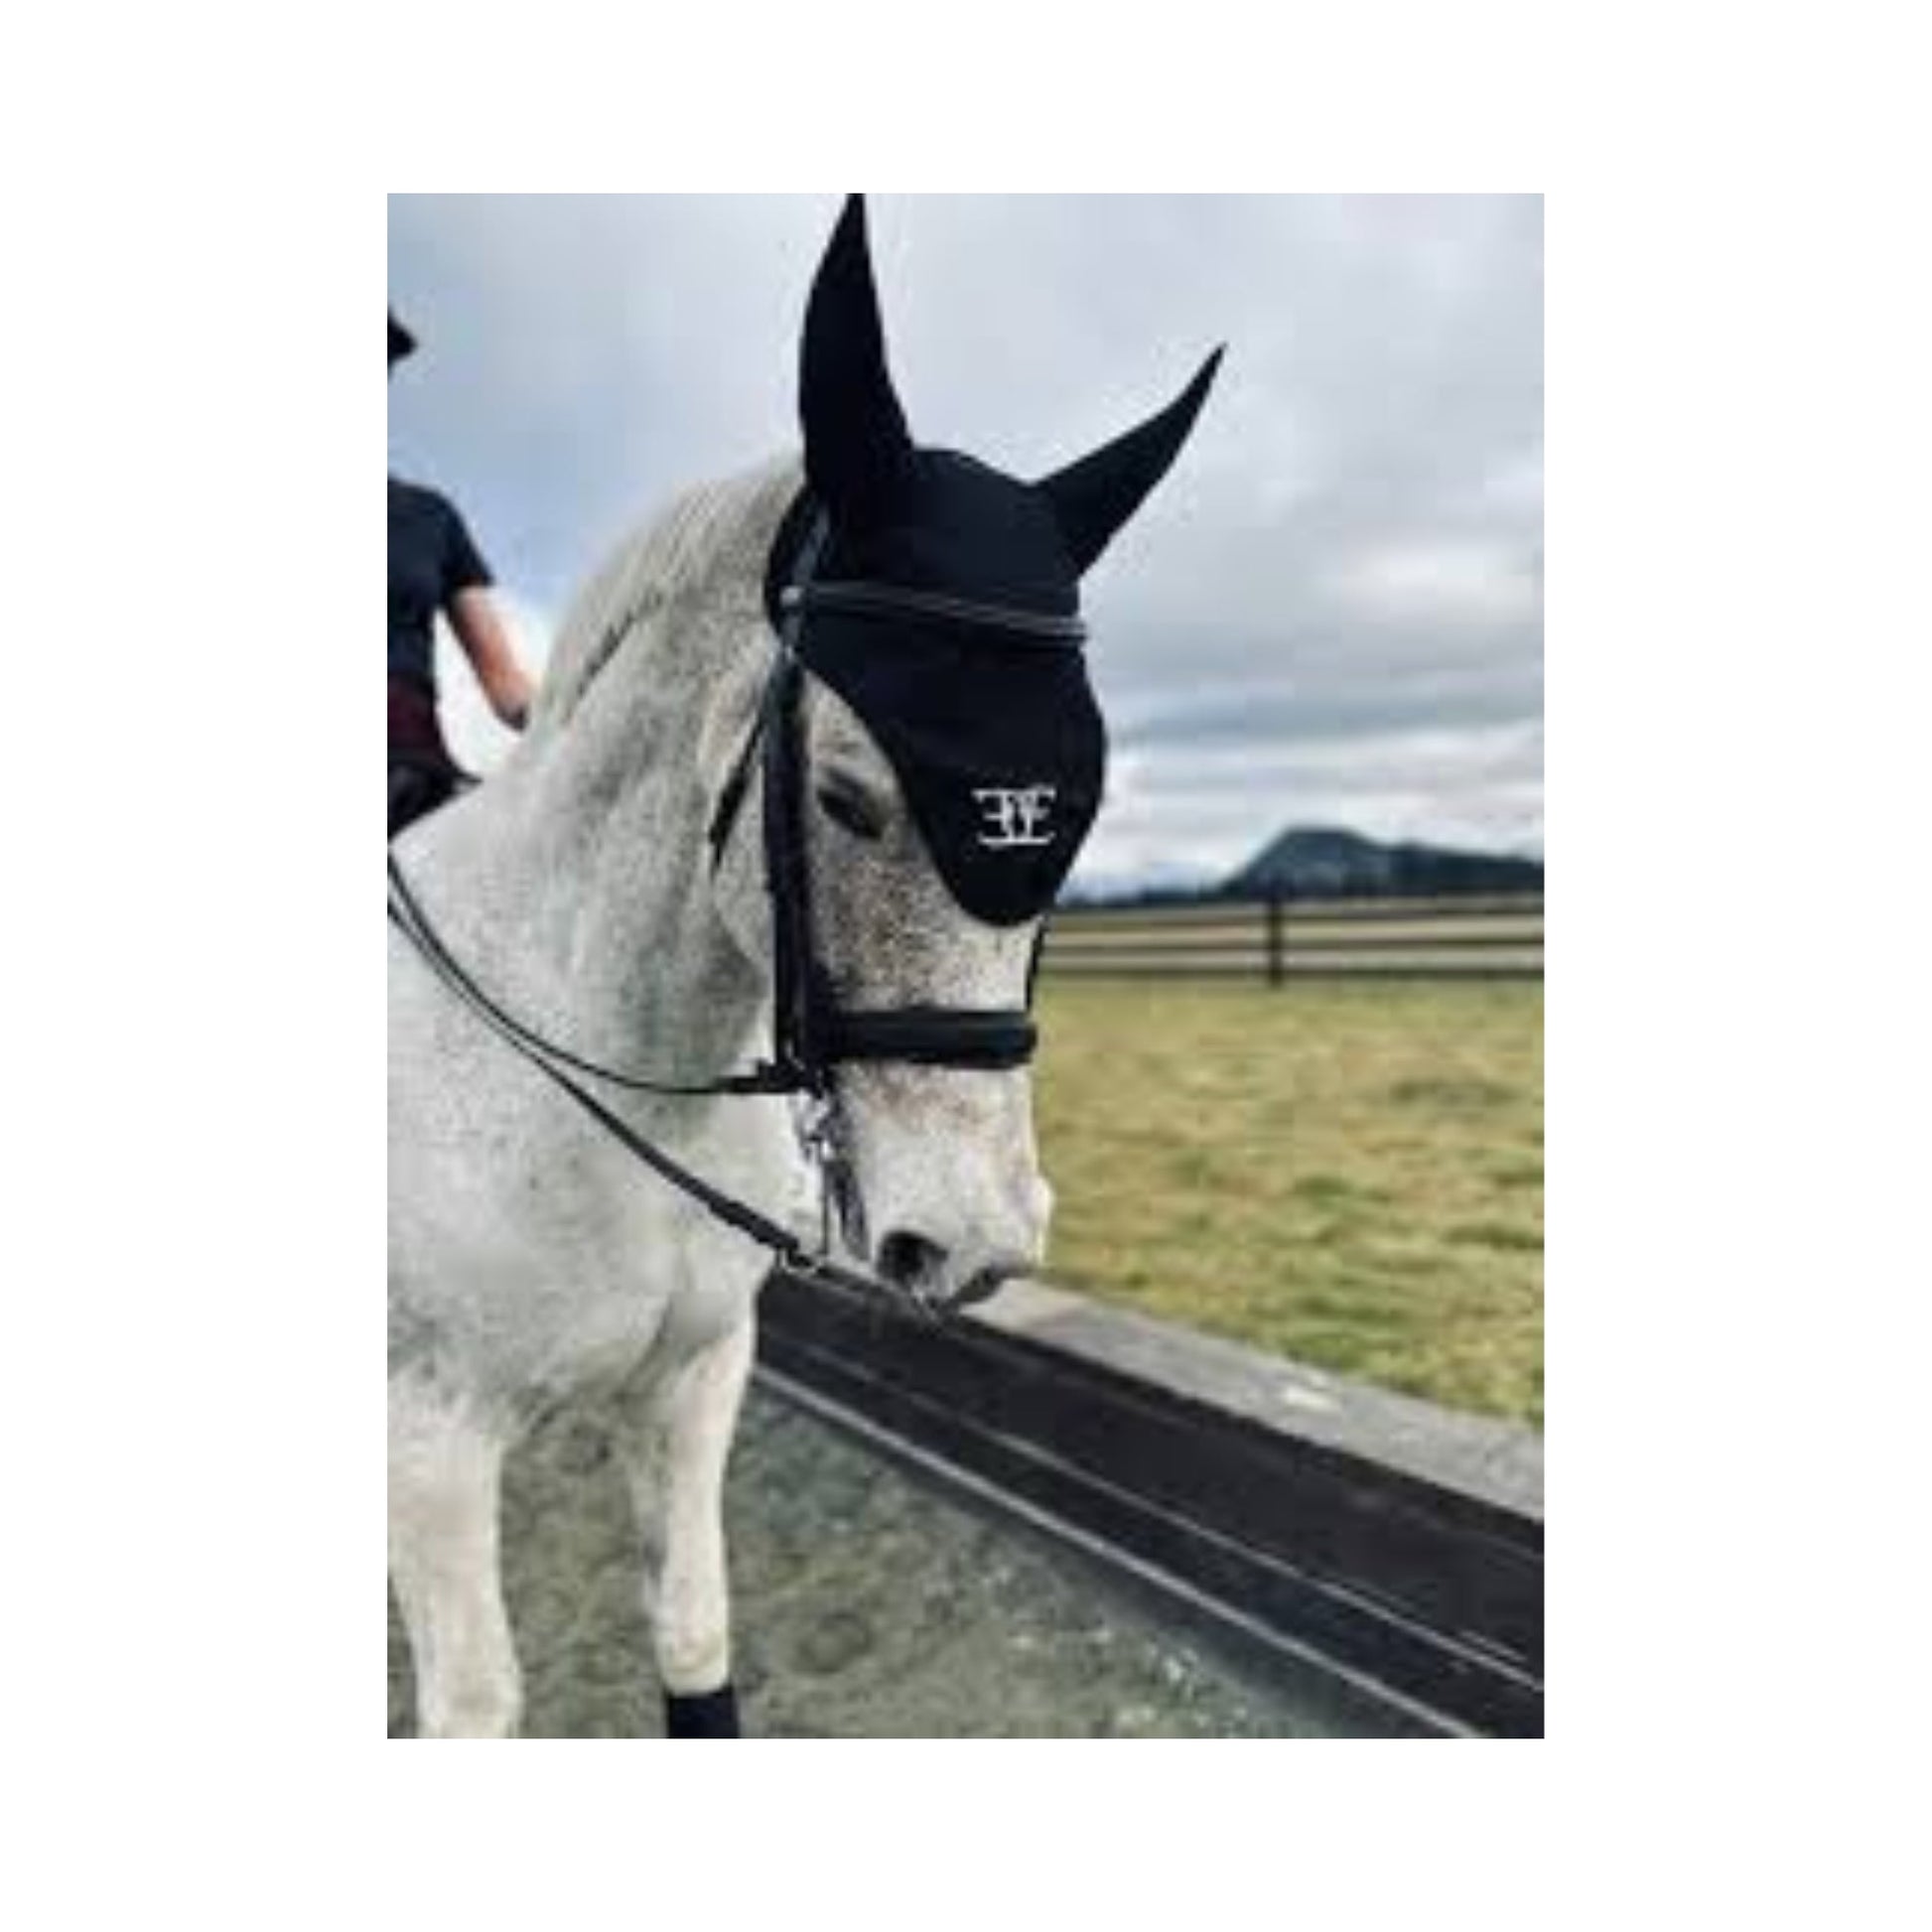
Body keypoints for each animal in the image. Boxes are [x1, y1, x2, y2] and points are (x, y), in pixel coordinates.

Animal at [388, 195, 1220, 1738]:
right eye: (842, 796)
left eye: (1074, 810)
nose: (972, 1239)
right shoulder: (426, 1444)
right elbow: (475, 1702)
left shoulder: (694, 1380)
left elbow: (695, 1639)